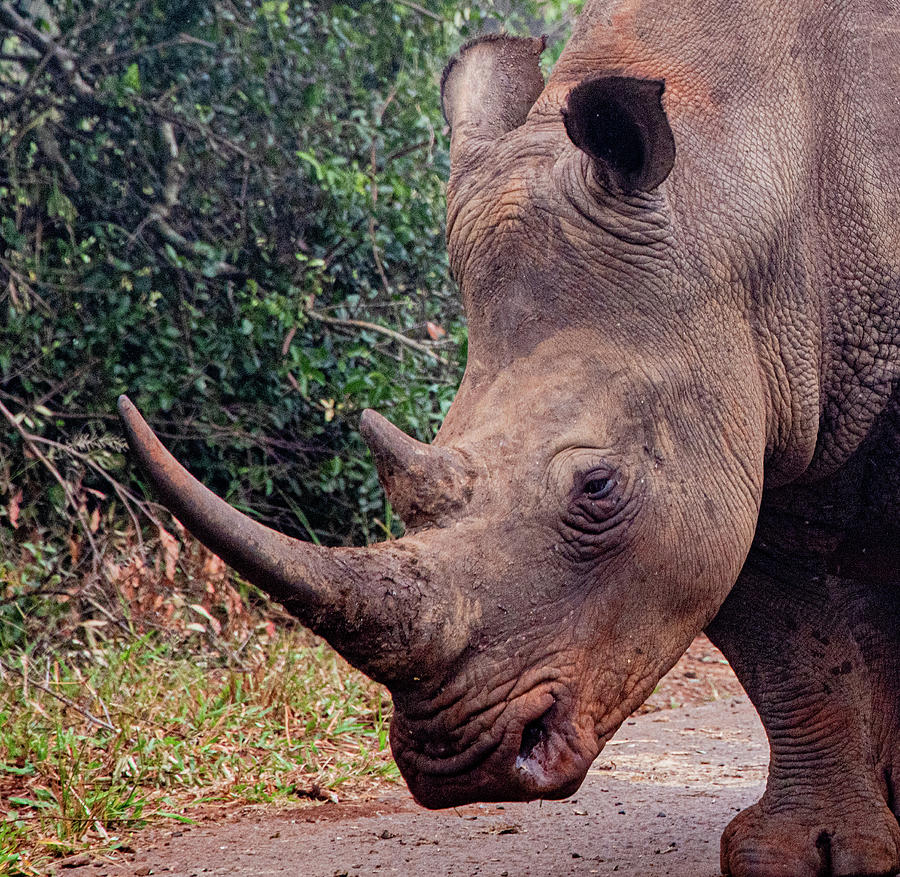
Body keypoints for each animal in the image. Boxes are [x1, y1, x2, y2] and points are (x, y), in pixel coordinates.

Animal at [118, 1, 900, 874]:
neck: (731, 189)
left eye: (598, 488)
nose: (459, 763)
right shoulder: (743, 430)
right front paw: (797, 851)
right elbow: (795, 652)